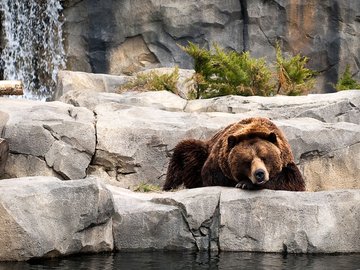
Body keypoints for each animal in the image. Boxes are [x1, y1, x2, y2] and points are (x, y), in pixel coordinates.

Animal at [165, 117, 306, 191]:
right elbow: (212, 177)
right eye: (247, 161)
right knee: (184, 153)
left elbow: (292, 180)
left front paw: (245, 183)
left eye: (264, 158)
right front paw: (243, 182)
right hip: (200, 150)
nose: (259, 173)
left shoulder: (286, 160)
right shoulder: (217, 162)